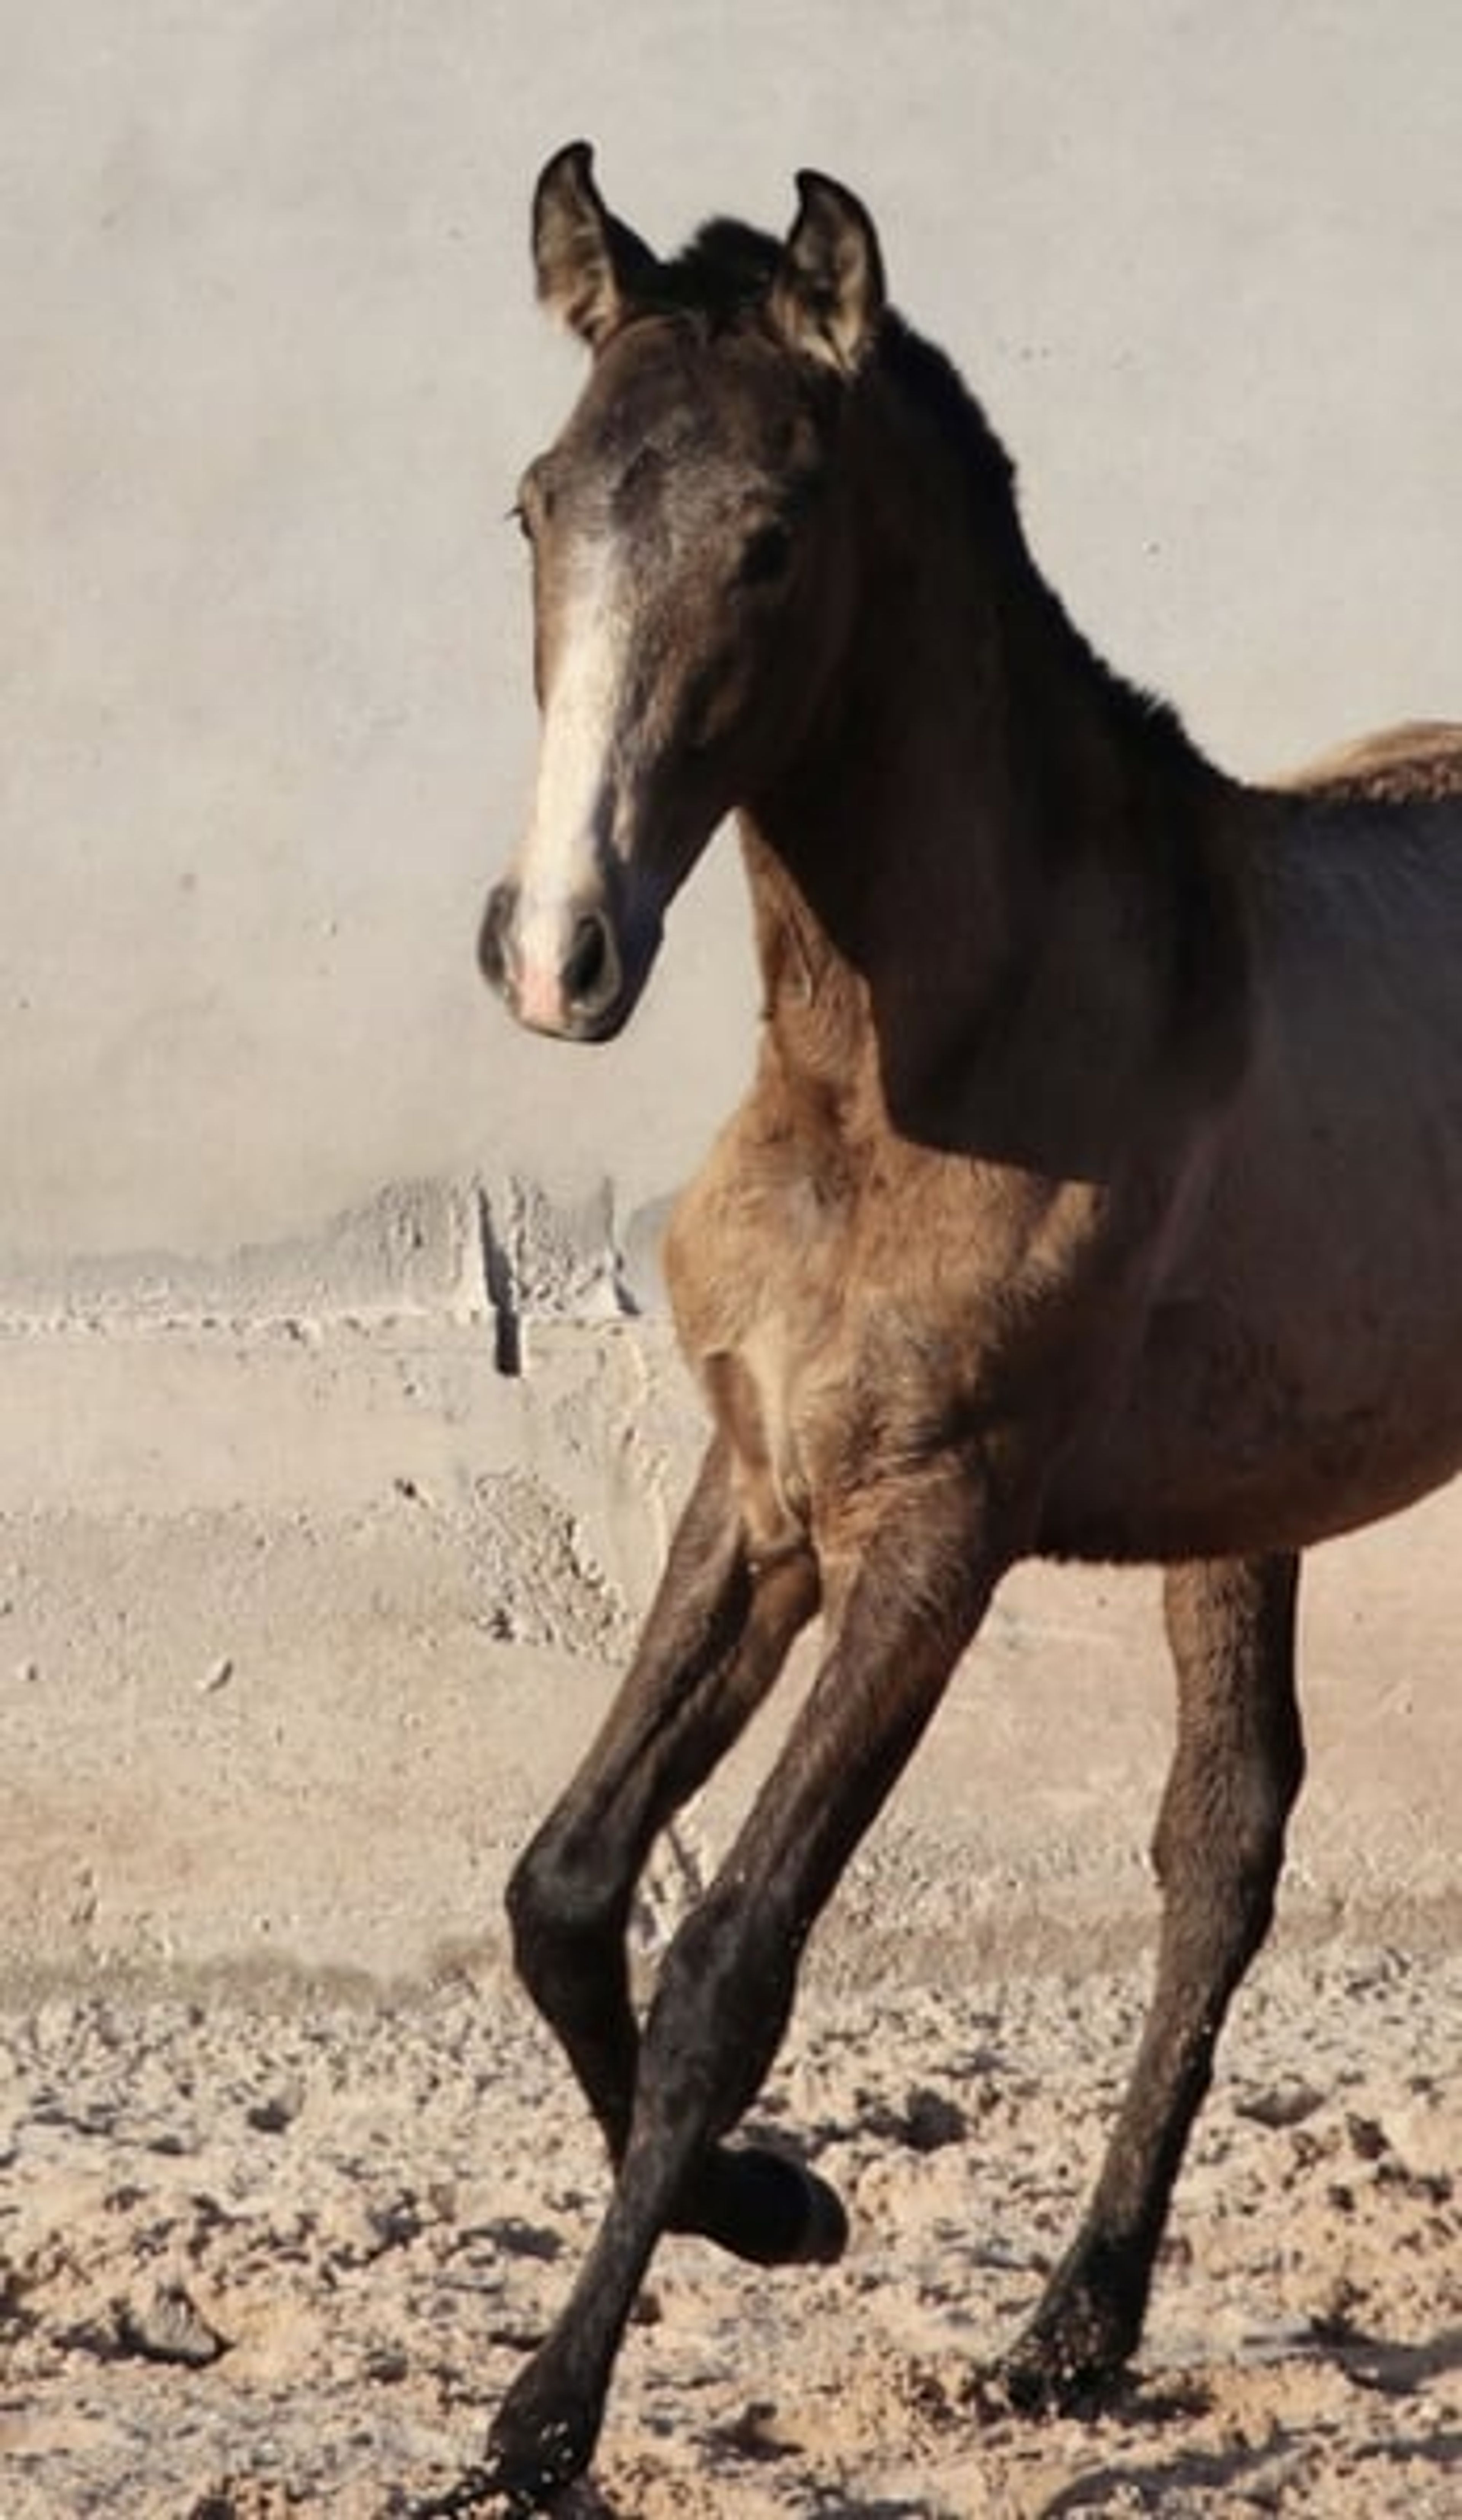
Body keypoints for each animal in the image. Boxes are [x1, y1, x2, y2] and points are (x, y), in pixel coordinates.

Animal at [460, 143, 1462, 2509]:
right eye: (538, 506)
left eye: (767, 537)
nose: (555, 953)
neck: (905, 1069)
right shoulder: (761, 1489)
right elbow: (567, 1885)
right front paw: (785, 2208)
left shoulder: (936, 1532)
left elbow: (732, 1958)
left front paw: (544, 2418)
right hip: (1246, 1505)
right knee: (1220, 1843)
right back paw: (1073, 2326)